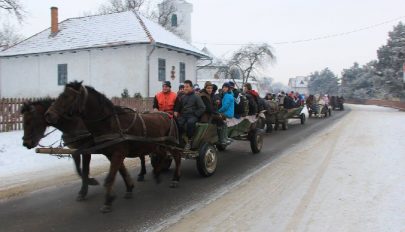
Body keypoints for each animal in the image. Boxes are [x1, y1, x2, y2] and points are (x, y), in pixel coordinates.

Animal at [43, 81, 180, 212]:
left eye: (67, 96)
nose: (48, 114)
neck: (110, 124)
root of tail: (168, 115)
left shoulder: (117, 154)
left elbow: (109, 177)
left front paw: (108, 201)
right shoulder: (110, 154)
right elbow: (121, 171)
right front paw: (128, 188)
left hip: (172, 144)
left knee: (177, 158)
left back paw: (175, 179)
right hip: (157, 145)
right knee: (162, 155)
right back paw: (157, 174)